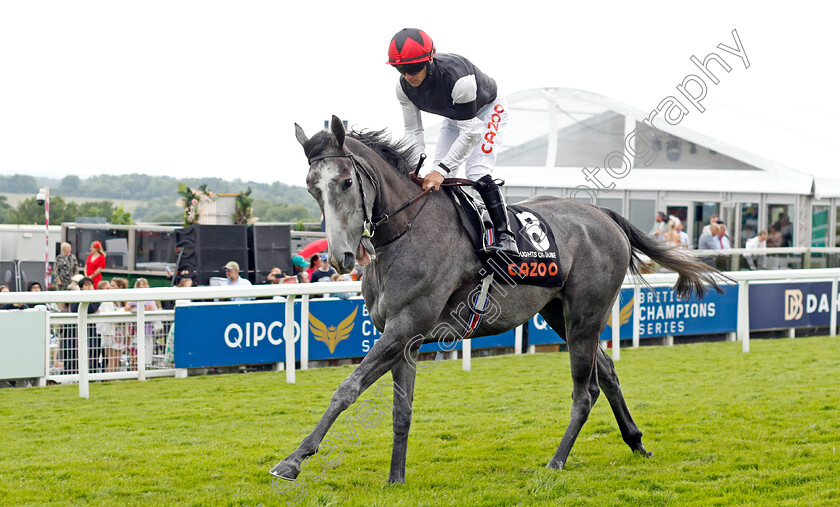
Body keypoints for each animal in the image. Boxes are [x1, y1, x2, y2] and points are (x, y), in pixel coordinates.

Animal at [270, 116, 720, 484]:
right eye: (312, 188)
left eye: (346, 182)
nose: (341, 257)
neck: (405, 230)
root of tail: (604, 215)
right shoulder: (401, 337)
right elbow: (401, 409)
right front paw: (395, 478)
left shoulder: (405, 326)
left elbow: (347, 388)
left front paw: (293, 460)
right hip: (560, 314)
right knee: (607, 372)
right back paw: (635, 440)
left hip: (586, 315)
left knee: (586, 390)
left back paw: (557, 461)